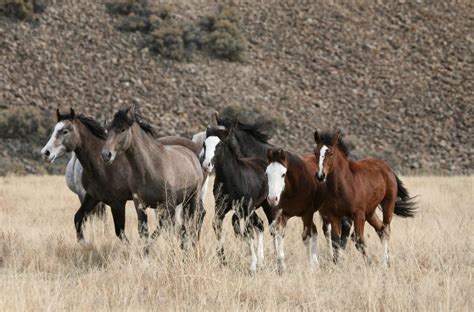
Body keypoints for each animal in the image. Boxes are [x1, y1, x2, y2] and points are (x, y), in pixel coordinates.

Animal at [102, 108, 206, 250]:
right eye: (108, 129)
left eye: (123, 129)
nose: (106, 154)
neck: (149, 169)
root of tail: (191, 155)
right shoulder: (140, 205)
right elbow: (144, 232)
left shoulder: (168, 205)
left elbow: (161, 229)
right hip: (184, 201)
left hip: (193, 198)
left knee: (192, 222)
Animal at [312, 130, 416, 266]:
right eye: (315, 152)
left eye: (331, 153)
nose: (320, 175)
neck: (342, 185)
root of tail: (387, 167)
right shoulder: (333, 215)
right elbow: (335, 241)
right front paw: (335, 264)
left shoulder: (358, 214)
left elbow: (358, 240)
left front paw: (369, 263)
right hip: (370, 212)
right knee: (381, 230)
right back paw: (386, 262)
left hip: (387, 204)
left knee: (386, 229)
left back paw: (385, 263)